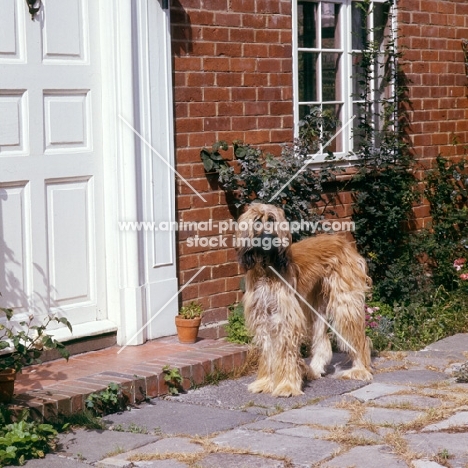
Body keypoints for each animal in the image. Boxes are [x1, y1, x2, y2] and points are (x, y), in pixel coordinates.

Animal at [236, 203, 372, 396]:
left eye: (272, 220)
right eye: (257, 222)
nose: (269, 238)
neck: (266, 269)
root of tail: (343, 241)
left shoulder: (285, 317)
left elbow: (285, 352)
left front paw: (286, 386)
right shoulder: (262, 316)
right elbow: (268, 351)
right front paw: (266, 382)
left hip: (344, 301)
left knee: (359, 337)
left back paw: (360, 369)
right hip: (315, 304)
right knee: (321, 339)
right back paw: (313, 370)